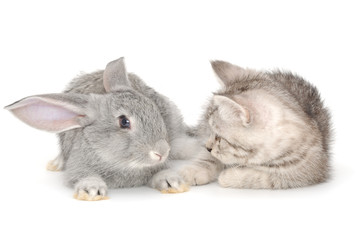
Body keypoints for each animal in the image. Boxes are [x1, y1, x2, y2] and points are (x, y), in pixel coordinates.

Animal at [5, 56, 197, 201]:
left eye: (154, 108)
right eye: (124, 122)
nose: (162, 152)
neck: (122, 164)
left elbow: (162, 172)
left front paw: (172, 182)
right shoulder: (77, 168)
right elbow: (83, 177)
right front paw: (91, 190)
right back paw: (55, 164)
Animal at [179, 60, 330, 189]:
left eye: (219, 137)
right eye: (211, 131)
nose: (208, 147)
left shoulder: (308, 173)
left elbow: (265, 178)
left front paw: (229, 176)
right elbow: (209, 158)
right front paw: (195, 170)